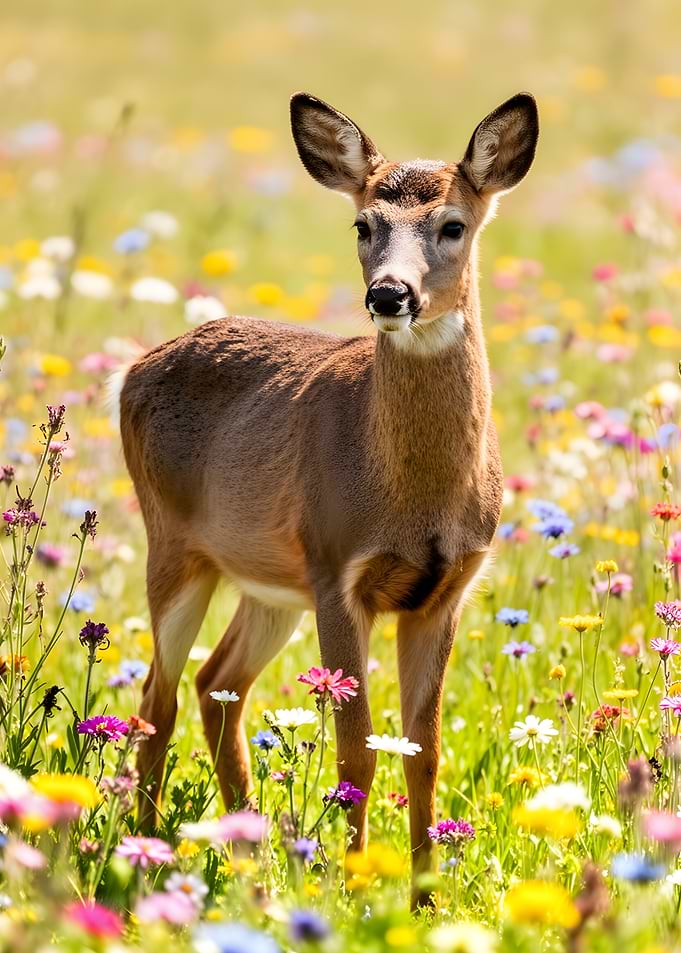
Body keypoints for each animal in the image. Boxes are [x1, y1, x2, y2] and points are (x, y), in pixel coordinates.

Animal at [118, 90, 538, 905]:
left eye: (453, 224)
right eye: (362, 225)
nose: (389, 293)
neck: (416, 495)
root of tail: (134, 367)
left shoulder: (446, 589)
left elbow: (422, 752)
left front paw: (424, 898)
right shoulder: (338, 569)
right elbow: (357, 752)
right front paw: (355, 888)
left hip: (270, 585)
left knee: (216, 685)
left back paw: (248, 848)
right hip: (176, 546)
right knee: (158, 696)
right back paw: (146, 851)